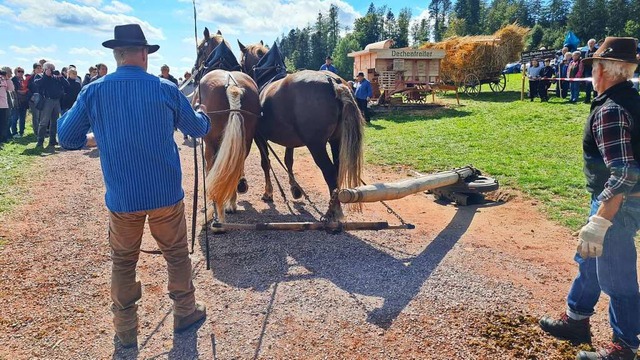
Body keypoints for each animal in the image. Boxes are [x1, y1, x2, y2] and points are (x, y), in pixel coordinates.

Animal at [191, 29, 262, 224]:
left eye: (200, 49)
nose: (193, 71)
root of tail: (232, 87)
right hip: (246, 140)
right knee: (235, 166)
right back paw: (231, 203)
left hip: (211, 143)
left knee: (213, 168)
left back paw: (217, 208)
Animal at [239, 40, 364, 218]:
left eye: (242, 60)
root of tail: (333, 82)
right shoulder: (289, 140)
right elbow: (288, 161)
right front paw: (295, 189)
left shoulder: (259, 136)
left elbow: (265, 162)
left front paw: (268, 192)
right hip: (336, 140)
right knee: (337, 168)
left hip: (316, 145)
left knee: (329, 171)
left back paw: (333, 211)